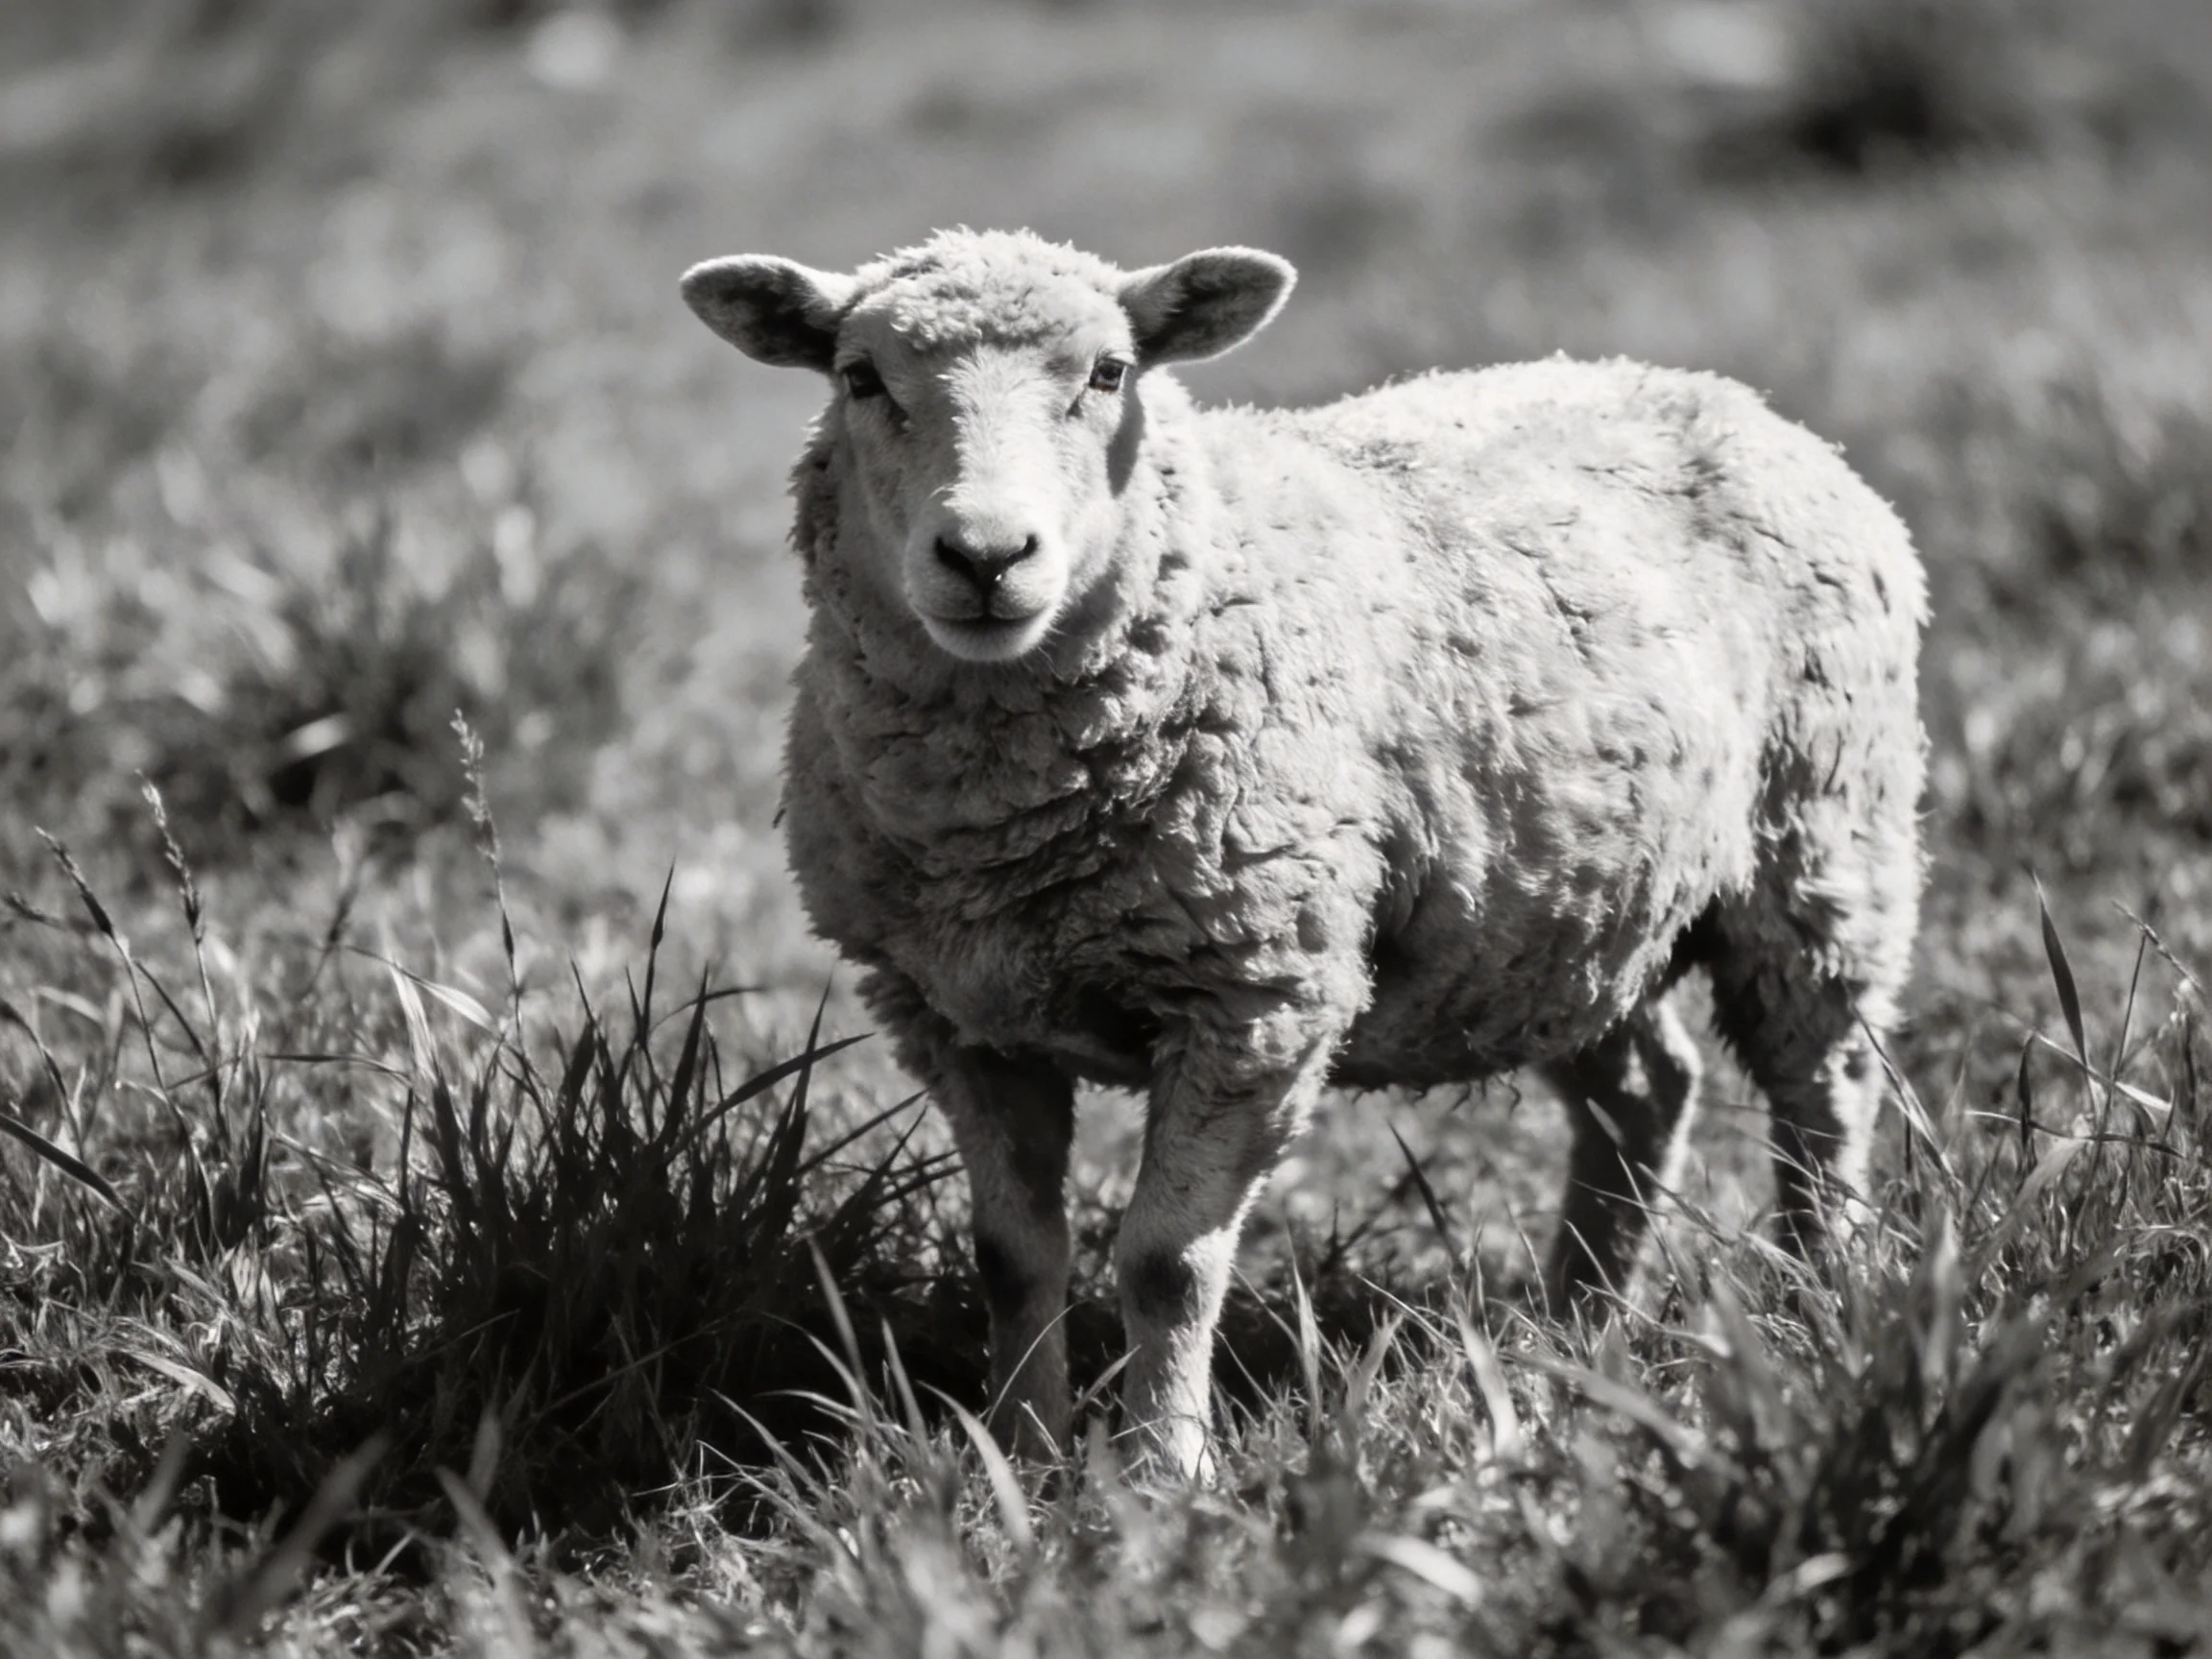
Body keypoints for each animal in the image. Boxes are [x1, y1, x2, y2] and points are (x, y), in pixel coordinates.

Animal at [680, 227, 1926, 1479]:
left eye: (1109, 374)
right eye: (861, 379)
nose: (986, 556)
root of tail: (1729, 398)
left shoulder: (1254, 996)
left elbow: (1166, 1263)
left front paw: (1161, 1474)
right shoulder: (956, 1018)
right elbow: (1012, 1256)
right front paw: (1019, 1456)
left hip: (1826, 847)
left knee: (1825, 1094)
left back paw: (1821, 1305)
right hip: (1557, 916)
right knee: (1646, 1091)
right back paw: (1577, 1338)